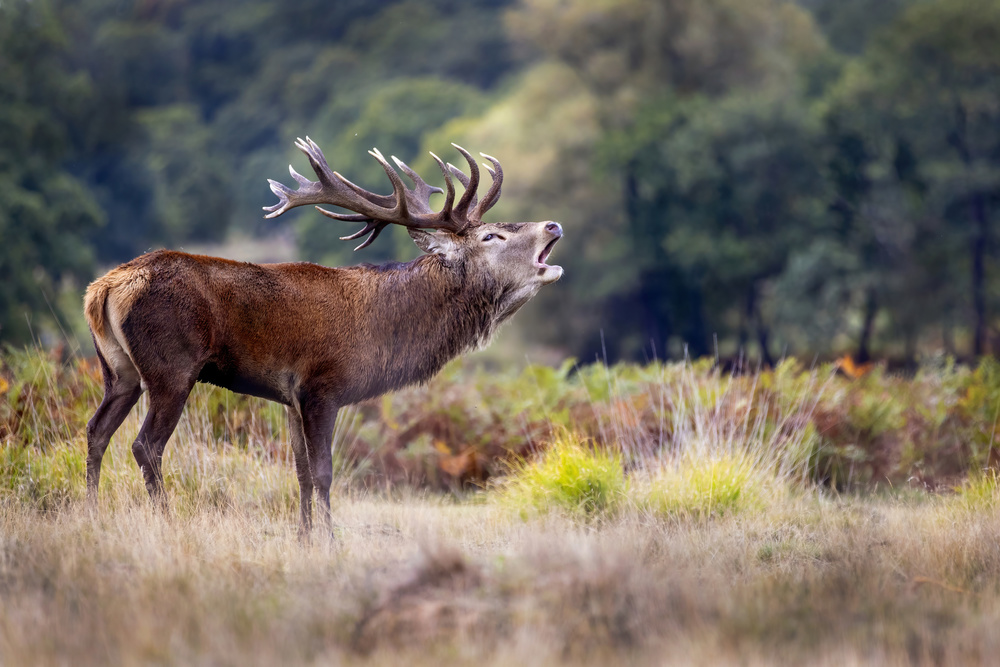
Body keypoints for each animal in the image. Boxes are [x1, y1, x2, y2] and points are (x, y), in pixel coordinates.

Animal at [80, 138, 564, 540]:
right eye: (491, 235)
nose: (553, 226)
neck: (386, 330)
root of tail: (103, 289)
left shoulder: (289, 397)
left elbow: (299, 472)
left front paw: (303, 537)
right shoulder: (321, 387)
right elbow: (324, 472)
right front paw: (330, 540)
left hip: (118, 371)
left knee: (96, 430)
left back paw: (92, 514)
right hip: (172, 368)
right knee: (145, 445)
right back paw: (166, 520)